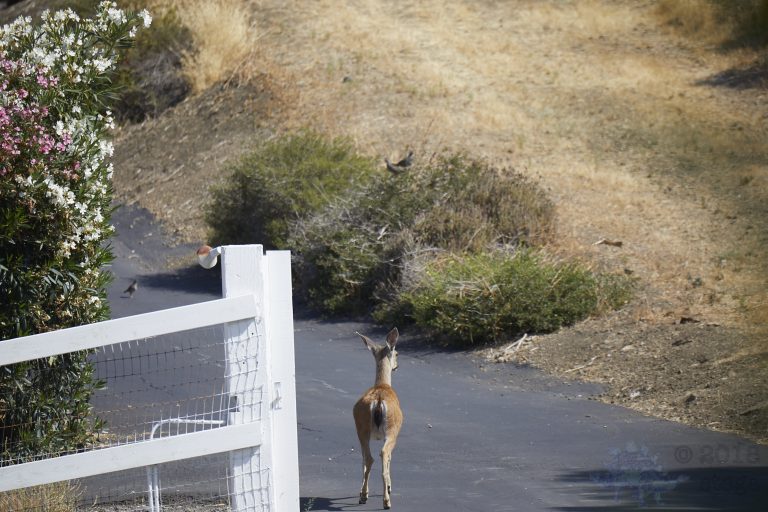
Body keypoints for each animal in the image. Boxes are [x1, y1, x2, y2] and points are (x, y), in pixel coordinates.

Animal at [353, 327, 404, 509]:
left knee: (367, 458)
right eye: (397, 353)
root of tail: (379, 401)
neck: (383, 384)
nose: (397, 366)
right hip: (392, 431)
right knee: (383, 455)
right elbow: (389, 460)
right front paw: (389, 487)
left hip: (361, 428)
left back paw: (363, 495)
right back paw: (386, 500)